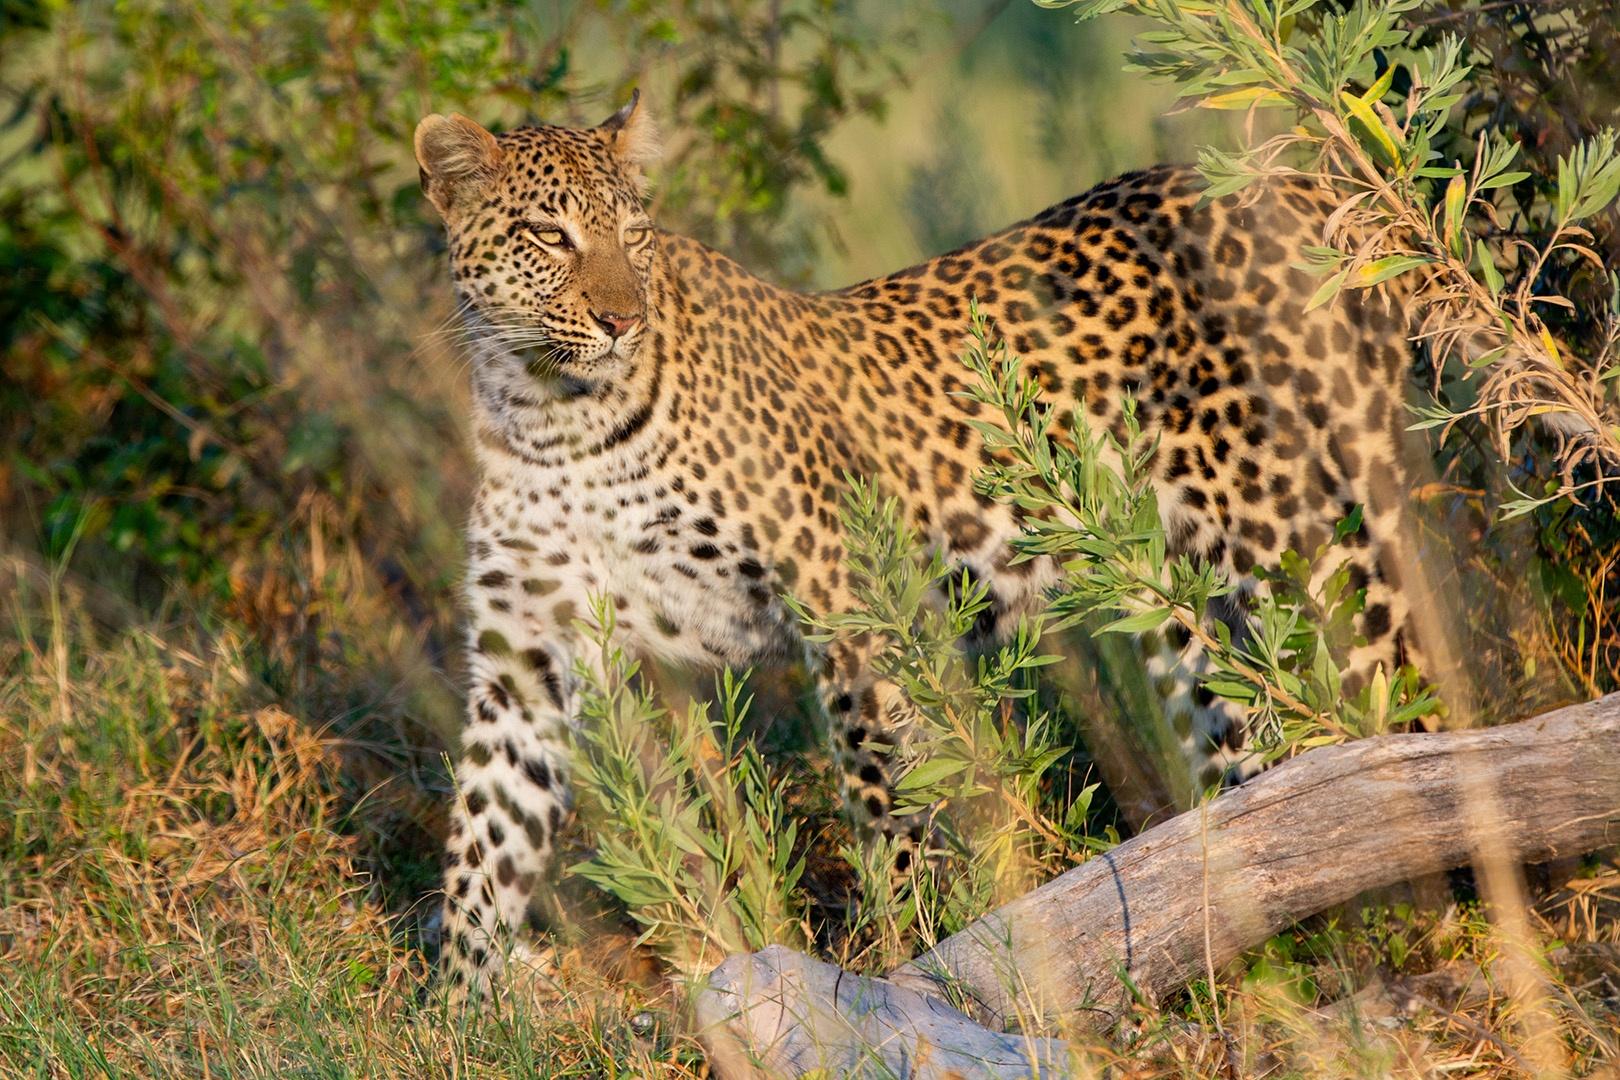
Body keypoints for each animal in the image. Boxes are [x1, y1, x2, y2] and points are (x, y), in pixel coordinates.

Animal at [417, 95, 1432, 1003]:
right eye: (549, 236)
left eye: (633, 234)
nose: (621, 320)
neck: (553, 417)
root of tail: (1307, 185)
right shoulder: (526, 654)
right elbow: (484, 842)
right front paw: (466, 1015)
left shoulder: (844, 604)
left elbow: (883, 802)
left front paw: (900, 966)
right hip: (1183, 599)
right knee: (1249, 749)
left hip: (1304, 548)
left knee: (1398, 725)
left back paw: (1424, 916)